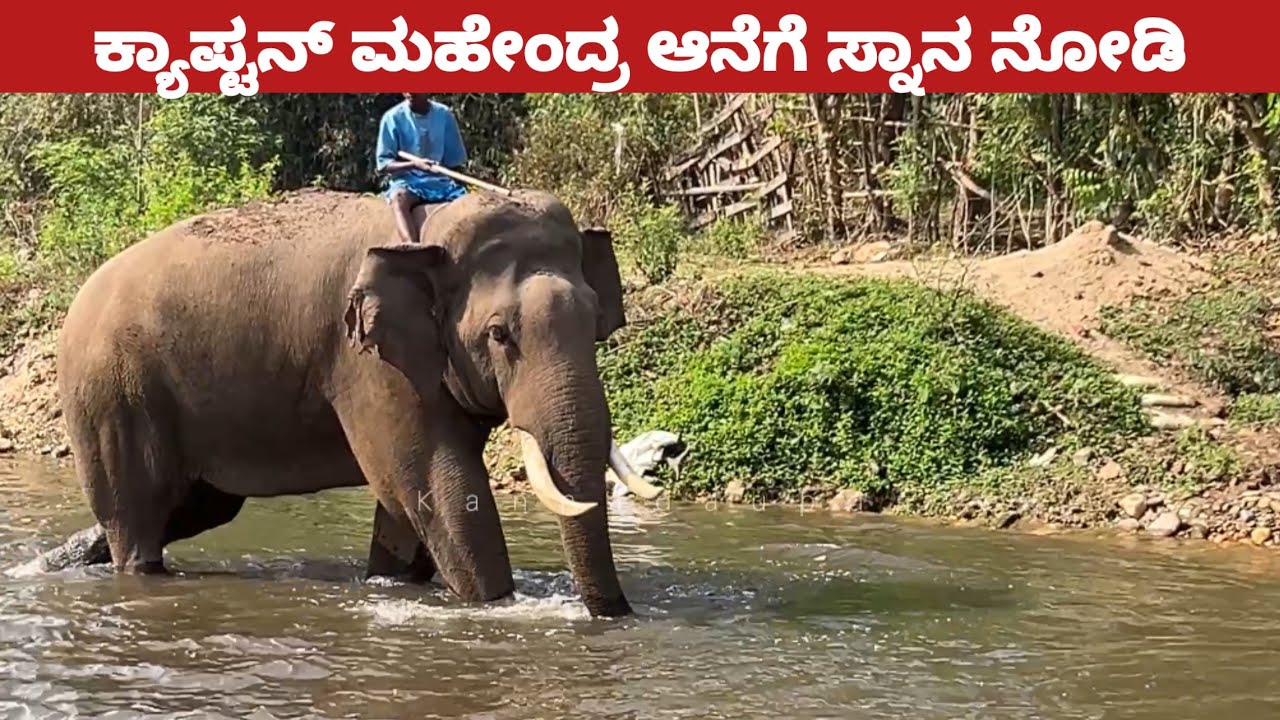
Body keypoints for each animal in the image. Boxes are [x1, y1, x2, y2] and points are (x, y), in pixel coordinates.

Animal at [25, 186, 663, 618]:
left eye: (596, 322)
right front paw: (496, 608)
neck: (431, 228)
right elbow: (438, 487)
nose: (618, 615)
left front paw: (391, 581)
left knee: (188, 508)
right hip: (114, 396)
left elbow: (406, 504)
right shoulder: (367, 363)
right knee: (139, 521)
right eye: (500, 334)